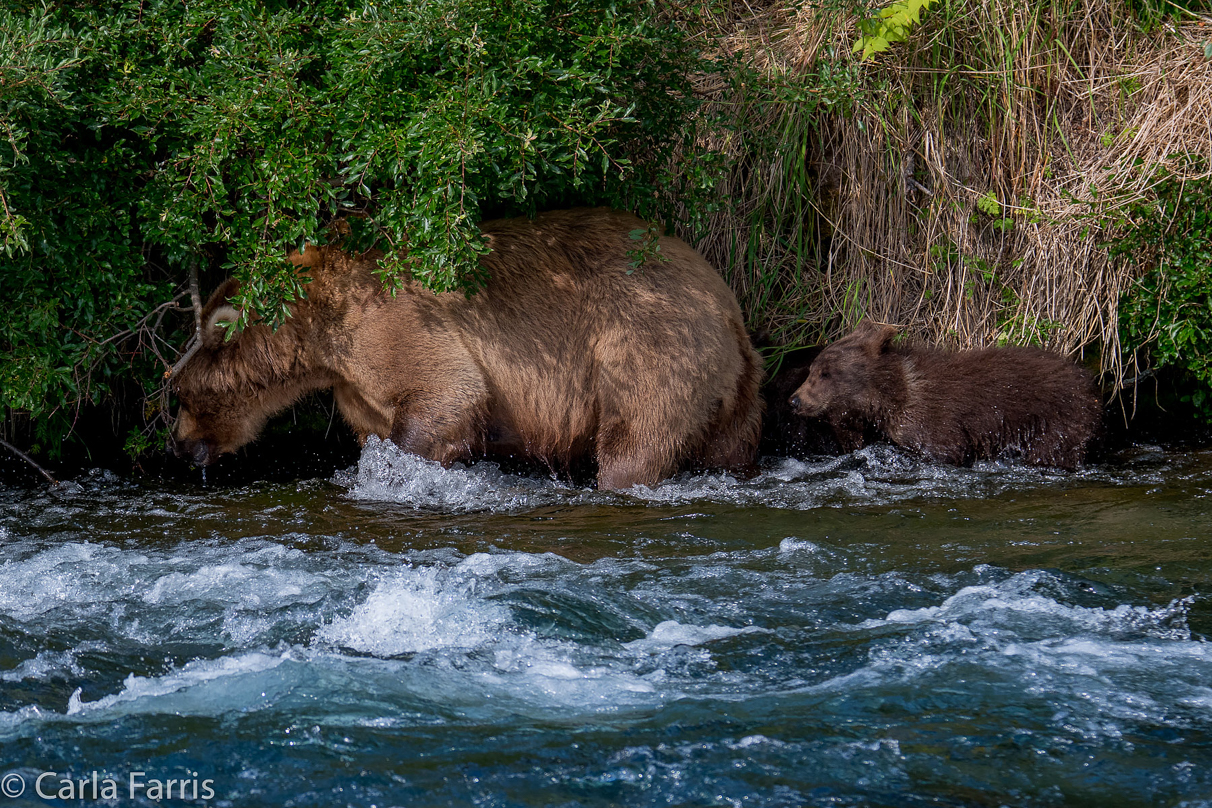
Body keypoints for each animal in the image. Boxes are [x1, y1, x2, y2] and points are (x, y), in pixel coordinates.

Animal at [167, 208, 761, 489]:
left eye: (178, 395)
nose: (180, 446)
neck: (312, 333)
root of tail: (725, 304)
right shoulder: (353, 384)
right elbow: (376, 424)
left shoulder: (387, 321)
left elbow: (446, 391)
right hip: (731, 384)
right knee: (729, 446)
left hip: (646, 341)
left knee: (637, 433)